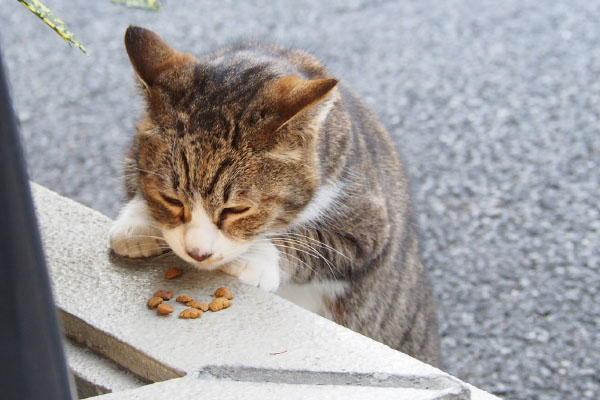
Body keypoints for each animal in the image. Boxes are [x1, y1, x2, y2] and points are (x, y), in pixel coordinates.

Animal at [110, 25, 440, 366]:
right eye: (172, 200)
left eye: (236, 210)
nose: (197, 253)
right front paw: (137, 223)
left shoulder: (368, 225)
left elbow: (314, 240)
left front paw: (255, 258)